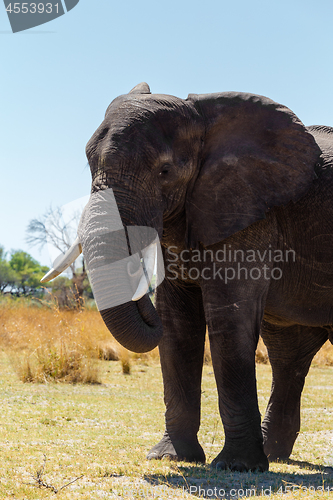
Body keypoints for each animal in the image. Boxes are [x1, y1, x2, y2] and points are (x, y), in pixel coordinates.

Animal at [40, 83, 332, 472]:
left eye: (165, 171)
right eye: (89, 164)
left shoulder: (248, 209)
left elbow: (229, 317)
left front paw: (236, 466)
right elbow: (177, 322)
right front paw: (172, 456)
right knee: (288, 353)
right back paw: (273, 456)